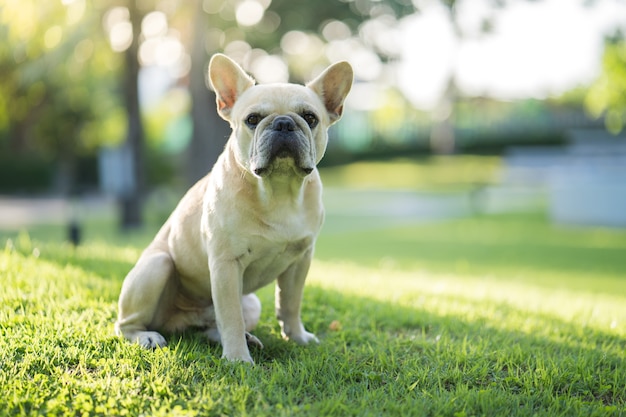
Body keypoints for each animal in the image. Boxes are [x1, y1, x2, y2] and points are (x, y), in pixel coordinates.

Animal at [115, 53, 354, 362]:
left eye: (310, 118)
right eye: (252, 119)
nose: (284, 123)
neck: (279, 190)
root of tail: (179, 322)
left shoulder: (300, 260)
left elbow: (290, 303)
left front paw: (297, 337)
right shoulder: (225, 265)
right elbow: (230, 316)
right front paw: (239, 360)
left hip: (250, 302)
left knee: (210, 327)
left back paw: (243, 338)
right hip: (157, 266)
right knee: (126, 324)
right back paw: (146, 336)